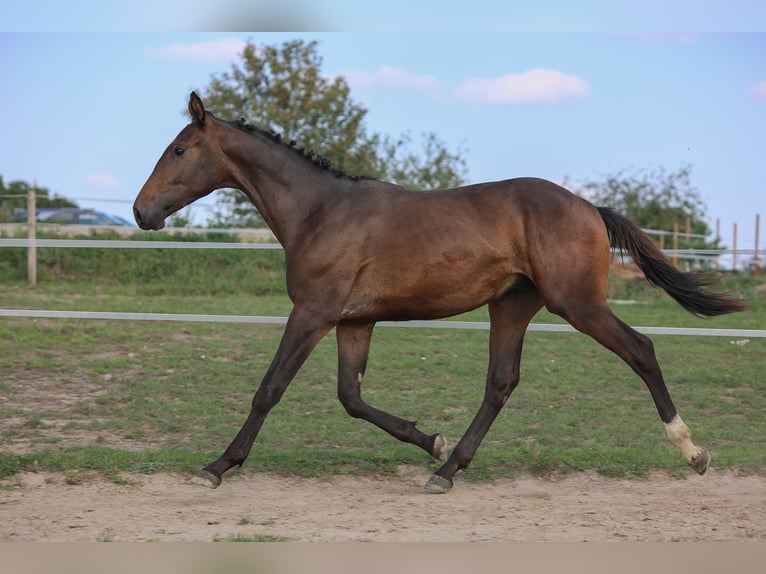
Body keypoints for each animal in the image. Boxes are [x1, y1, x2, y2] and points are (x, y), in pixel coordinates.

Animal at [135, 91, 748, 496]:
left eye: (178, 150)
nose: (142, 212)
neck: (320, 212)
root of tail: (589, 207)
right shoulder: (353, 321)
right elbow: (351, 398)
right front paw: (428, 439)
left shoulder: (312, 314)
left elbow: (269, 389)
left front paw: (216, 467)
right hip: (512, 306)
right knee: (501, 382)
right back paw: (446, 469)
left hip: (577, 303)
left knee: (641, 350)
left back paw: (694, 452)